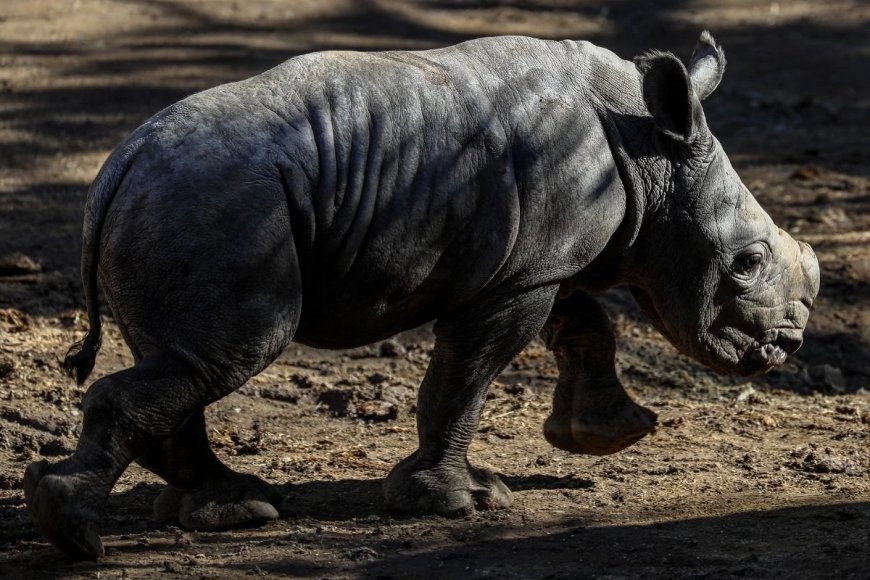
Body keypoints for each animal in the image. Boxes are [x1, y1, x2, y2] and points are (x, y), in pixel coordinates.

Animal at [23, 31, 820, 556]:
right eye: (746, 263)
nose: (783, 347)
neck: (646, 143)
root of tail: (118, 169)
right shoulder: (523, 272)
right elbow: (465, 376)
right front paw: (458, 501)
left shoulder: (536, 260)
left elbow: (586, 322)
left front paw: (607, 434)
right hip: (215, 207)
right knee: (230, 351)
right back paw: (76, 533)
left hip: (182, 206)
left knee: (187, 359)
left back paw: (232, 509)